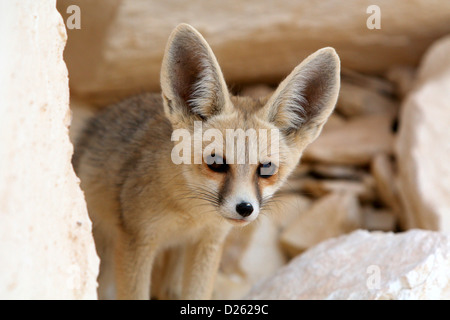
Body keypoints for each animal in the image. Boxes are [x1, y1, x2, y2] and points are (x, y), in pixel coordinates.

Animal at [73, 23, 342, 300]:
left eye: (266, 168)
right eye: (216, 163)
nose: (245, 208)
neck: (189, 217)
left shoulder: (209, 241)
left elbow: (198, 294)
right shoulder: (137, 241)